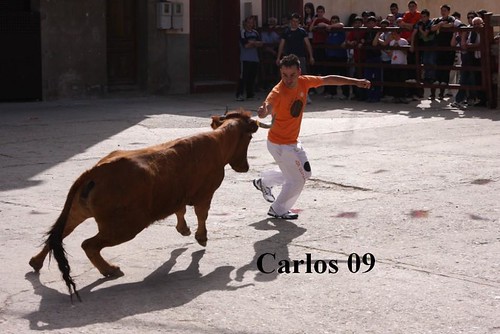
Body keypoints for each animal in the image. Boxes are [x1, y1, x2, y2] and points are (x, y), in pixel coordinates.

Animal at [29, 111, 260, 302]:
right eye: (249, 138)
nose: (245, 167)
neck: (218, 143)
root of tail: (95, 171)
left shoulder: (178, 194)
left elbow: (181, 210)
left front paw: (183, 229)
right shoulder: (206, 193)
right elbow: (202, 214)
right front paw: (201, 237)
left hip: (77, 212)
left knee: (57, 236)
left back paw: (35, 262)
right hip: (124, 228)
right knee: (88, 244)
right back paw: (110, 269)